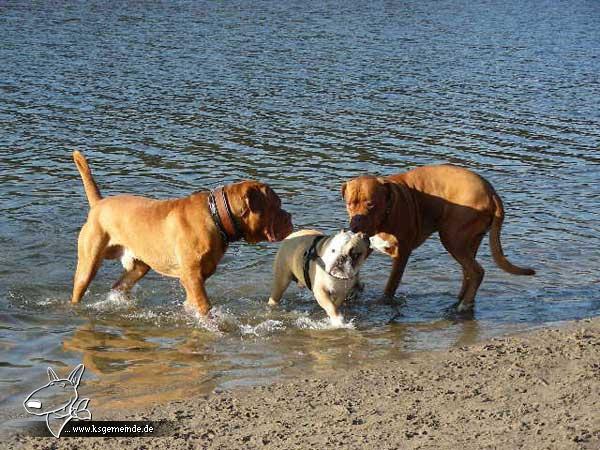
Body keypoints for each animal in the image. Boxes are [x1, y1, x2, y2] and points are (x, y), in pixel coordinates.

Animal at [70, 149, 292, 314]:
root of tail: (99, 203)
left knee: (120, 285)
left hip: (139, 267)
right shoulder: (192, 277)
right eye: (277, 204)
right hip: (88, 264)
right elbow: (205, 306)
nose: (290, 216)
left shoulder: (197, 278)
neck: (217, 216)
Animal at [342, 163, 536, 312]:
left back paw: (464, 305)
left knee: (476, 271)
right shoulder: (366, 246)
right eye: (349, 204)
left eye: (371, 204)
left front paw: (382, 302)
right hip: (470, 241)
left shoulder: (402, 253)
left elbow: (391, 285)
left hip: (452, 238)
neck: (386, 214)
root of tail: (491, 192)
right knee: (468, 271)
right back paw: (460, 301)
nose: (356, 221)